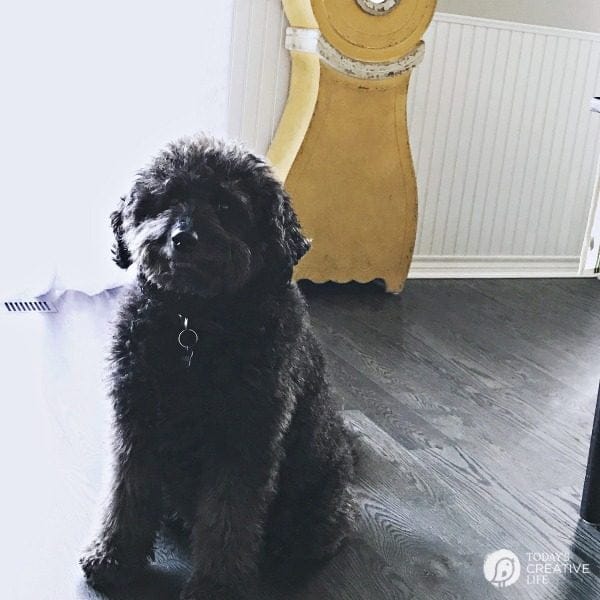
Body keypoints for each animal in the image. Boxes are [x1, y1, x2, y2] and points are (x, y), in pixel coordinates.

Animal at [79, 137, 356, 600]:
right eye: (165, 199)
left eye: (226, 205)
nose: (181, 238)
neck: (194, 323)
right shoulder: (135, 421)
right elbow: (126, 494)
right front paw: (113, 558)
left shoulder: (244, 439)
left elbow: (229, 519)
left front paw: (217, 586)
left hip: (316, 502)